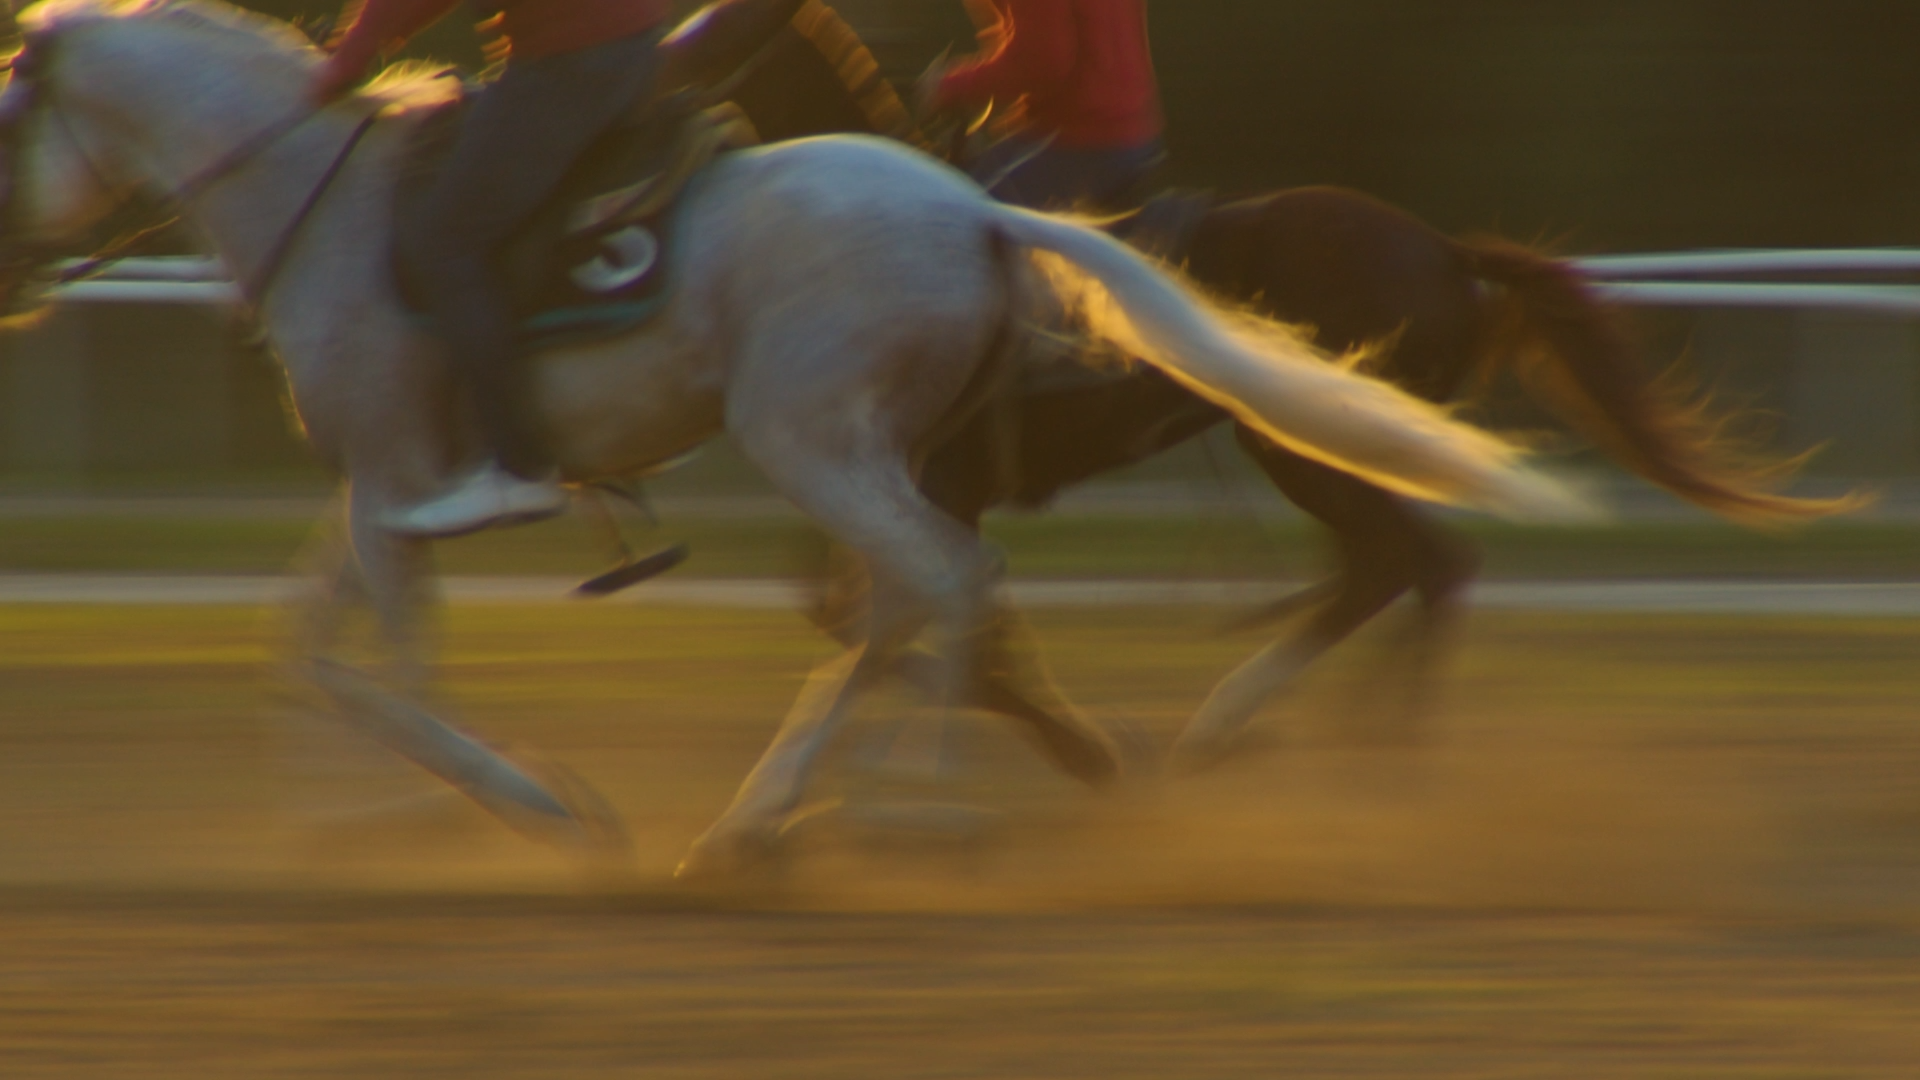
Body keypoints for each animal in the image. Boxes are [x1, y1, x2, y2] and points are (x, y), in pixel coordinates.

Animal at [0, 0, 1589, 876]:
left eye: (7, 111)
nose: (14, 274)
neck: (324, 203)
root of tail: (973, 216)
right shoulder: (380, 487)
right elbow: (306, 649)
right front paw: (352, 829)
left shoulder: (396, 480)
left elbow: (394, 676)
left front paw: (534, 810)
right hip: (865, 454)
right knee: (931, 599)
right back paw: (793, 822)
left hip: (818, 442)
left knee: (946, 586)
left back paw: (913, 818)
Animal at [660, 0, 1843, 764]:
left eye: (712, 26)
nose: (651, 99)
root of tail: (1446, 253)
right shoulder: (901, 474)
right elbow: (865, 605)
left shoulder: (924, 475)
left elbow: (880, 605)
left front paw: (1073, 737)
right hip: (1341, 448)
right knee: (1407, 571)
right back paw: (1325, 736)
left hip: (1307, 451)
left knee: (1406, 565)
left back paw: (1283, 735)